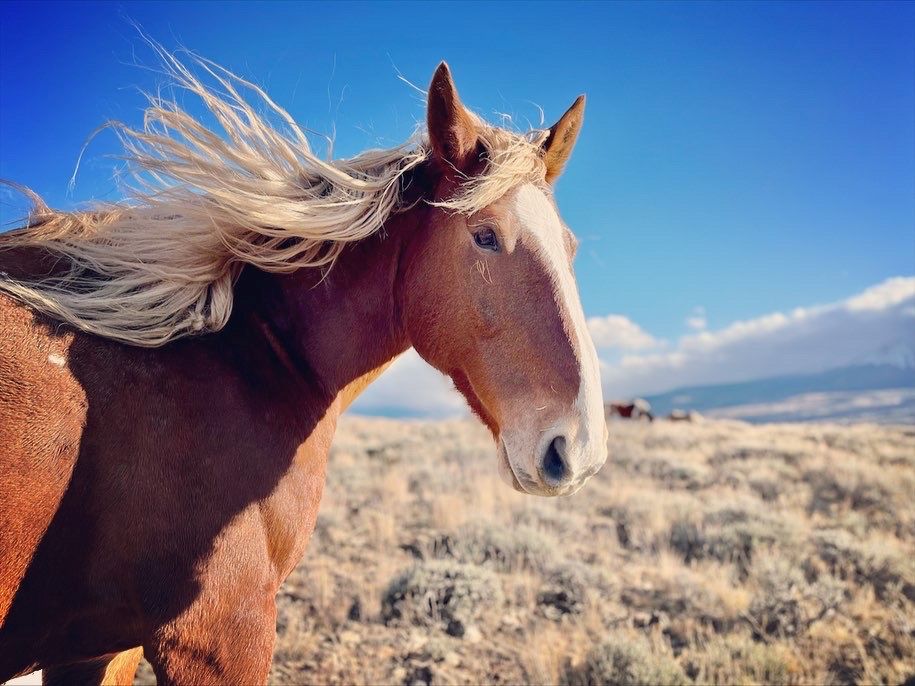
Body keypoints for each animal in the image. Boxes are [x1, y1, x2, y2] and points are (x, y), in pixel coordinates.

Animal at [0, 53, 607, 684]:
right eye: (485, 236)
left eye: (570, 248)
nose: (578, 449)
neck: (247, 361)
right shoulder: (219, 633)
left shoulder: (99, 649)